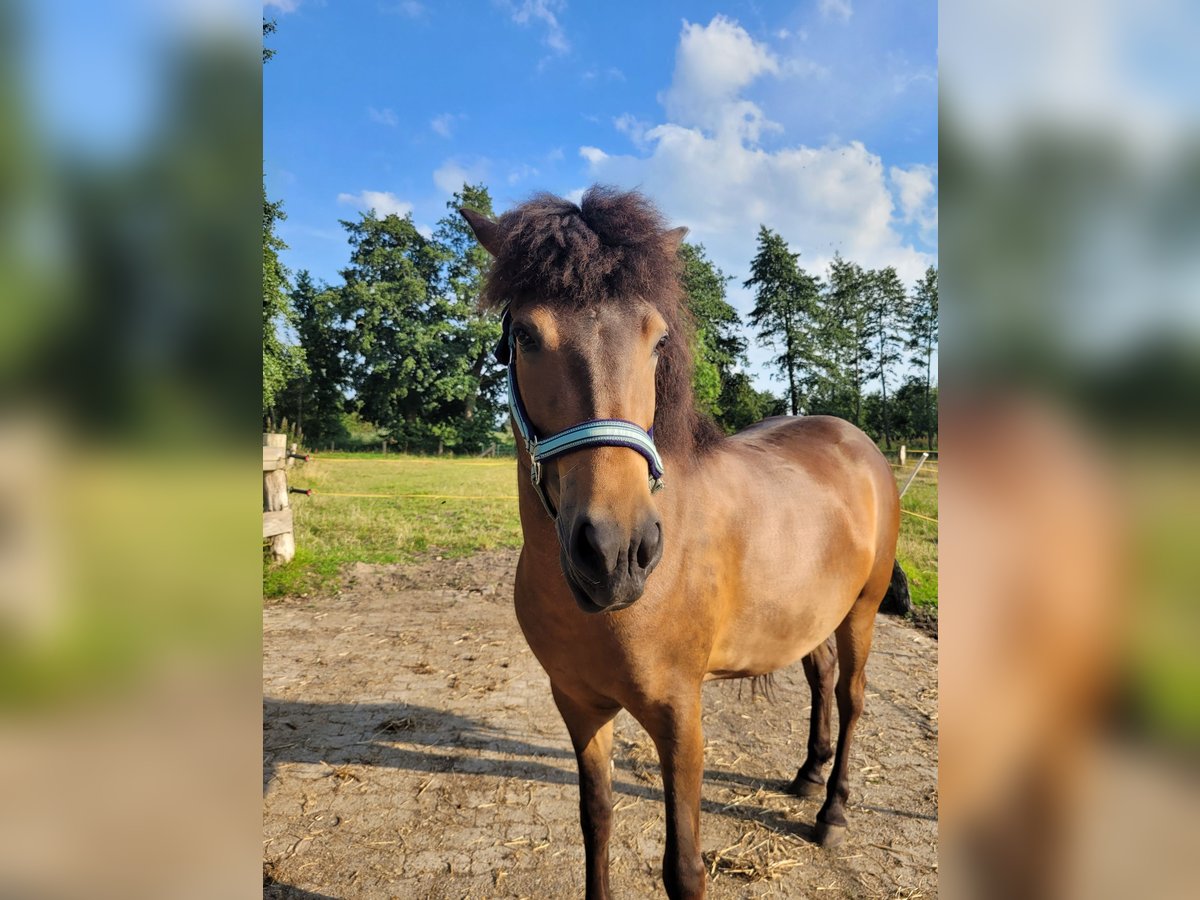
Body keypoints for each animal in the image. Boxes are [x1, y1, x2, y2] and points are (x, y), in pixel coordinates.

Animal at [458, 187, 902, 897]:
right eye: (523, 335)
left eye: (657, 337)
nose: (617, 551)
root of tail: (855, 439)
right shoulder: (578, 704)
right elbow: (596, 822)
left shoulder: (679, 716)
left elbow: (684, 869)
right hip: (810, 614)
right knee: (822, 675)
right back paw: (808, 775)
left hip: (861, 609)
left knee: (851, 695)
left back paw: (832, 809)